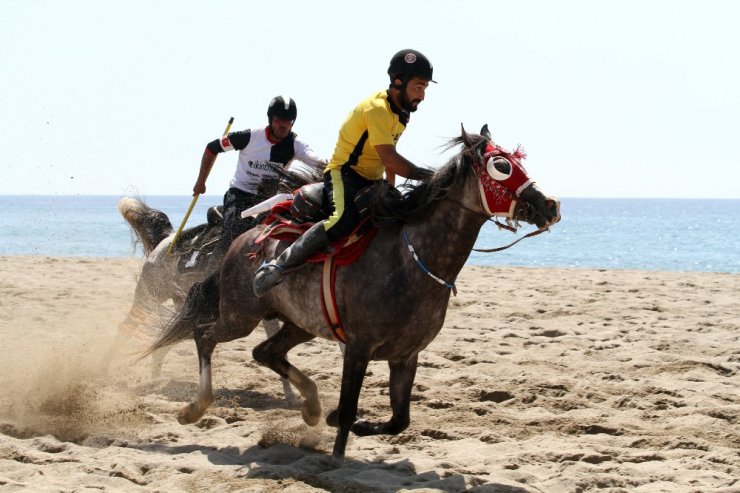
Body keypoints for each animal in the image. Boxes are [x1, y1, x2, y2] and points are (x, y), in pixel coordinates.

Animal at [149, 126, 560, 458]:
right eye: (501, 166)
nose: (550, 205)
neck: (412, 259)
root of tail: (241, 240)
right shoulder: (359, 347)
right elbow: (349, 410)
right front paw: (337, 451)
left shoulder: (405, 355)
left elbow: (398, 420)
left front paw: (345, 422)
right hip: (240, 315)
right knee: (205, 336)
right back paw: (195, 408)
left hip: (298, 324)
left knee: (265, 351)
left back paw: (312, 407)